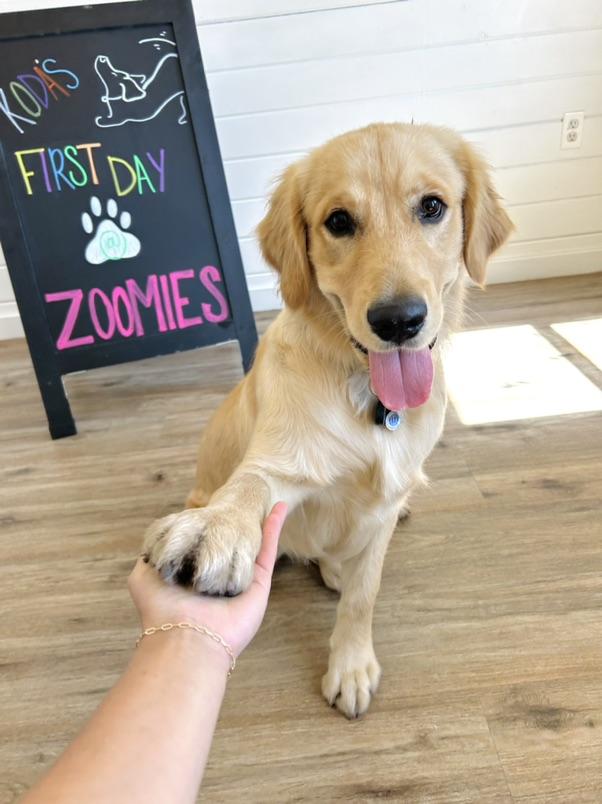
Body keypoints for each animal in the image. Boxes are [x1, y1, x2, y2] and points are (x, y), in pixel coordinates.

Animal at [143, 123, 513, 718]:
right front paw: (216, 529)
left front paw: (352, 665)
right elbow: (250, 487)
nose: (398, 321)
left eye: (432, 206)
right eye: (338, 221)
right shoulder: (281, 466)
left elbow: (365, 594)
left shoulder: (385, 505)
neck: (371, 399)